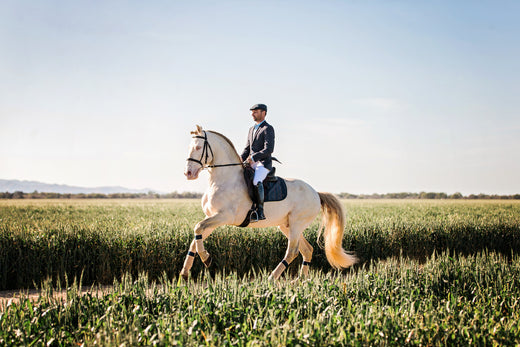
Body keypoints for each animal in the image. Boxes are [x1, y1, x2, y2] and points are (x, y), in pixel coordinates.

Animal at [181, 125, 356, 280]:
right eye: (189, 147)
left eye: (198, 147)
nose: (188, 173)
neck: (222, 179)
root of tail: (316, 193)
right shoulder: (211, 217)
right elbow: (196, 237)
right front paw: (185, 272)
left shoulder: (224, 216)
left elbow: (197, 228)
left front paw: (206, 258)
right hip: (287, 225)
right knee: (307, 250)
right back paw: (301, 281)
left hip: (296, 224)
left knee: (292, 251)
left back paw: (272, 278)